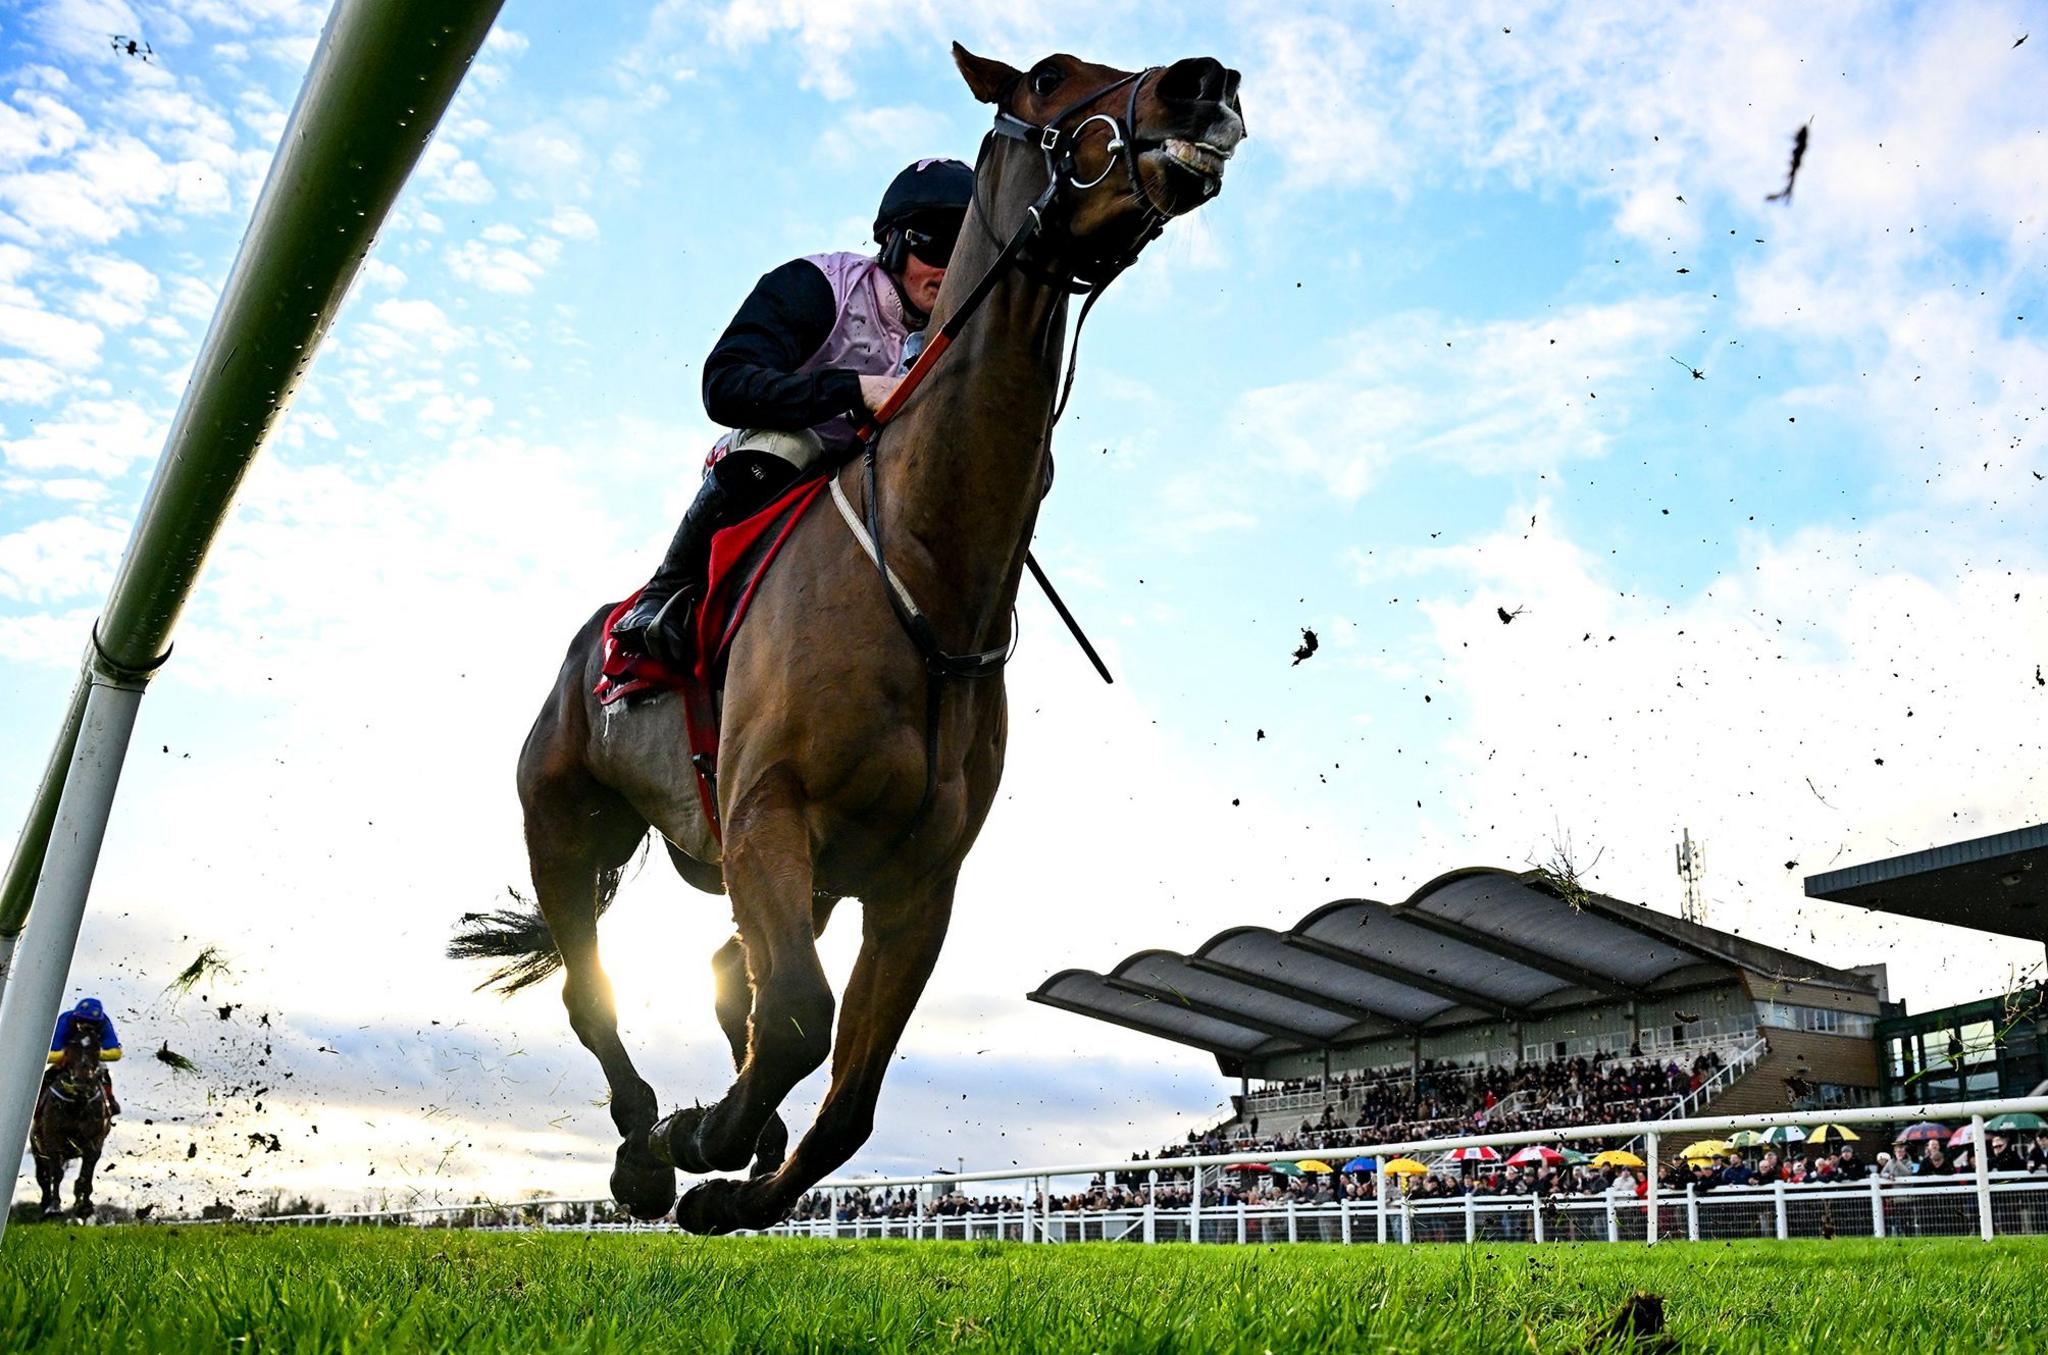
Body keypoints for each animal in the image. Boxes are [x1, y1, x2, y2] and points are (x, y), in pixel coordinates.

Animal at [31, 1019, 112, 1219]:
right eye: (71, 1045)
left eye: (96, 1047)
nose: (82, 1081)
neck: (78, 1102)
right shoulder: (53, 1140)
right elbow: (56, 1173)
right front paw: (54, 1207)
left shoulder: (94, 1142)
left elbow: (85, 1176)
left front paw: (84, 1207)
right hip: (37, 1149)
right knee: (43, 1177)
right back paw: (45, 1203)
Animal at [454, 42, 1236, 1236]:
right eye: (1050, 76)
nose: (1203, 81)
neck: (926, 571)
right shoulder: (768, 810)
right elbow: (794, 1016)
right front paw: (700, 1138)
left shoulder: (916, 880)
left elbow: (847, 1095)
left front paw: (736, 1178)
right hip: (566, 823)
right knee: (597, 992)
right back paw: (642, 1144)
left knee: (727, 964)